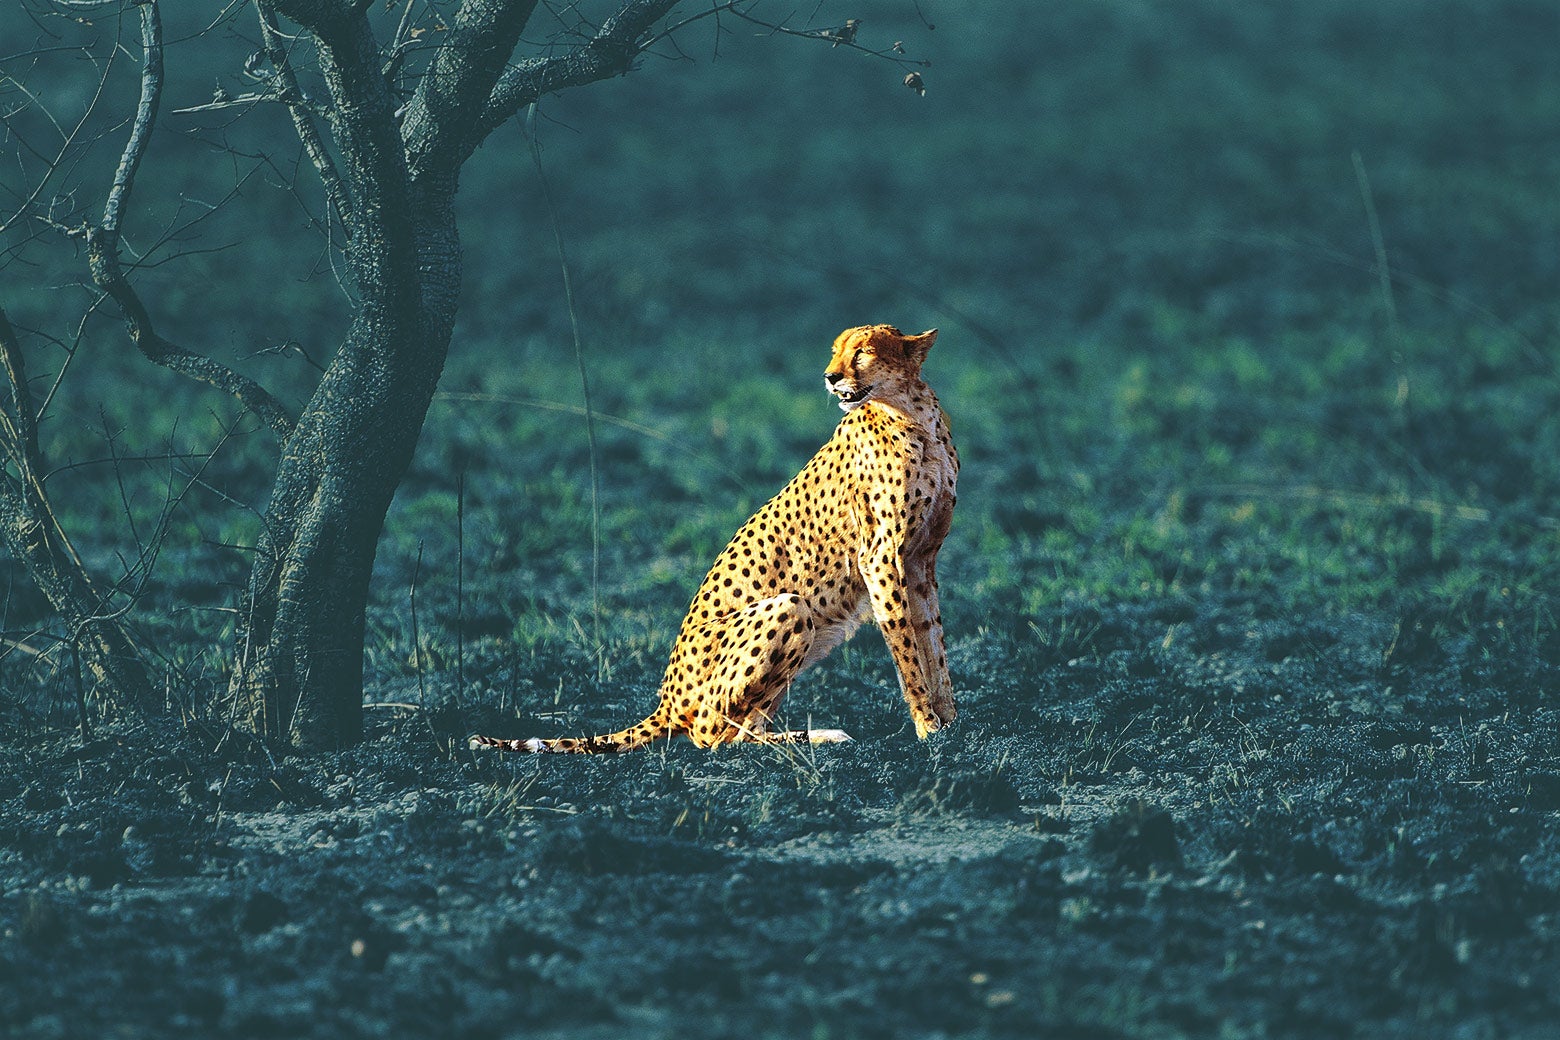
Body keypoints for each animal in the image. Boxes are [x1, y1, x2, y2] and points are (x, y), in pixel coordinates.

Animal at [469, 323, 958, 753]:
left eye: (863, 352)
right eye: (835, 351)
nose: (830, 376)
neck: (913, 415)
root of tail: (666, 701)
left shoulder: (919, 559)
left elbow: (931, 642)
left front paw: (951, 724)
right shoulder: (880, 559)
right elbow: (908, 652)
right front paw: (927, 726)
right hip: (790, 607)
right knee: (715, 736)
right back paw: (819, 737)